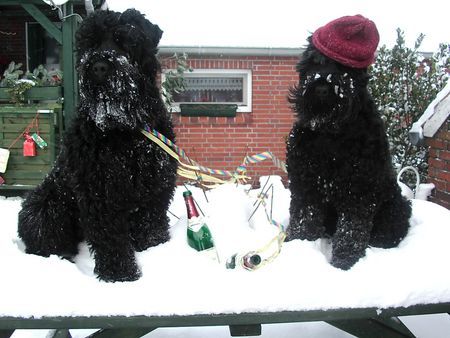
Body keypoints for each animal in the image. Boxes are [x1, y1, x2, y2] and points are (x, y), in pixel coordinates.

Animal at [18, 8, 178, 282]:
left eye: (125, 41)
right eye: (89, 43)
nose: (99, 67)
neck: (126, 130)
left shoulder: (156, 188)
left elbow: (151, 226)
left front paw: (154, 250)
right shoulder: (100, 194)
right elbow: (111, 240)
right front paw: (121, 276)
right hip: (41, 207)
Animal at [288, 15, 412, 270]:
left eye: (345, 68)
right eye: (314, 60)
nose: (322, 87)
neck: (331, 133)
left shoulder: (359, 191)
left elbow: (351, 231)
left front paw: (343, 264)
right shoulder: (305, 183)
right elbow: (304, 218)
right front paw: (299, 245)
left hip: (397, 205)